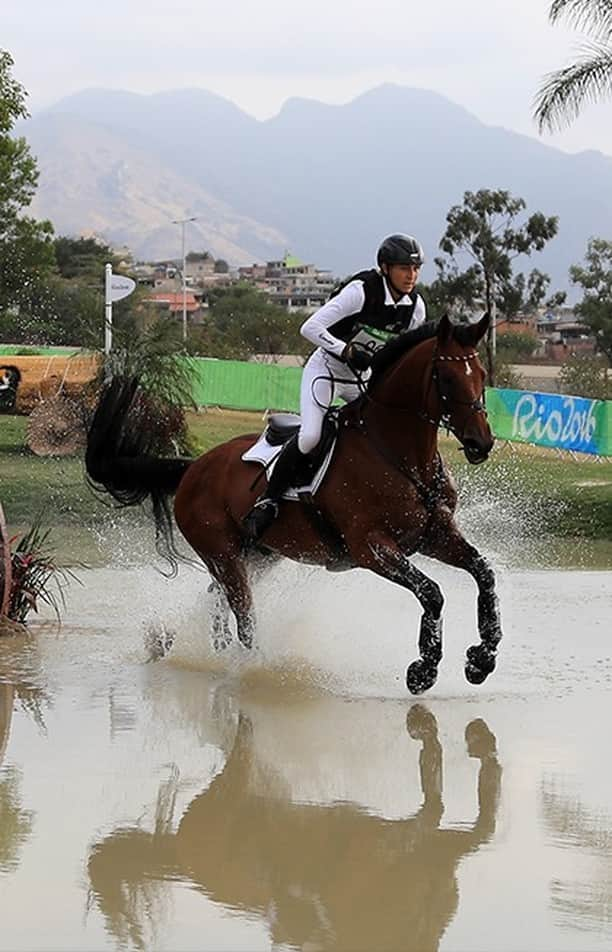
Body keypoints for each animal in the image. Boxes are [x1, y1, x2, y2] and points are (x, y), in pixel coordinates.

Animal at [87, 312, 506, 692]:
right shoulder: (372, 547)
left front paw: (482, 658)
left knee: (217, 600)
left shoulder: (434, 535)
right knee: (244, 617)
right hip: (223, 553)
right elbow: (431, 592)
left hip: (258, 555)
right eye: (447, 378)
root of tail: (193, 468)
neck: (398, 455)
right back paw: (254, 668)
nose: (481, 443)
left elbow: (483, 573)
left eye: (481, 375)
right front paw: (424, 669)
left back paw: (190, 647)